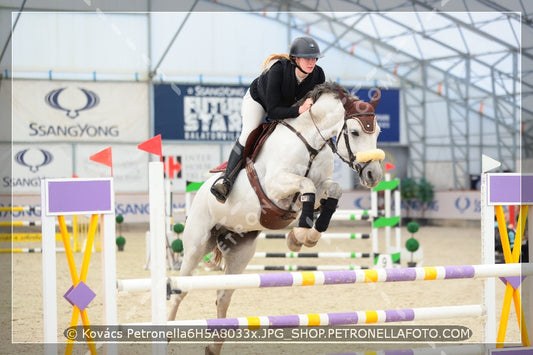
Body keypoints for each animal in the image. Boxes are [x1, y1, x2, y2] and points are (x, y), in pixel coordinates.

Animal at [168, 82, 384, 354]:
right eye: (355, 133)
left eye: (377, 132)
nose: (373, 175)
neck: (311, 143)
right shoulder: (275, 187)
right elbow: (306, 186)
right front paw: (300, 234)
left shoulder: (320, 186)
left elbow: (331, 191)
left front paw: (305, 236)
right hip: (197, 245)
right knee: (179, 291)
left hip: (240, 252)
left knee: (223, 297)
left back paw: (213, 348)